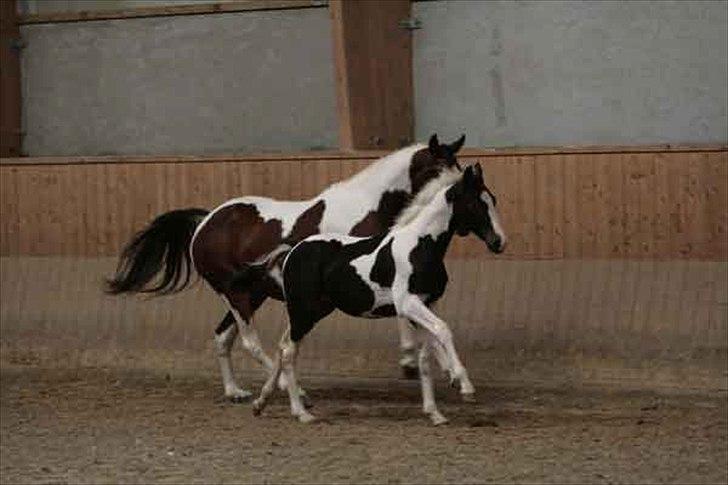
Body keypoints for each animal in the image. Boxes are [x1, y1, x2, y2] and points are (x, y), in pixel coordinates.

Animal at [108, 133, 466, 400]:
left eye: (458, 164)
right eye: (439, 166)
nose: (457, 190)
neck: (365, 208)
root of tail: (205, 222)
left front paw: (442, 369)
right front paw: (412, 360)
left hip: (251, 294)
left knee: (223, 337)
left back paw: (235, 392)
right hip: (236, 295)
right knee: (250, 341)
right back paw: (286, 387)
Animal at [253, 163, 504, 424]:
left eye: (493, 200)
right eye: (475, 204)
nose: (498, 242)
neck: (420, 244)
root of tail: (293, 250)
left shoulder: (427, 304)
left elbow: (426, 356)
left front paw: (435, 413)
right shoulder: (408, 304)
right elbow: (443, 330)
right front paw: (465, 386)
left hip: (312, 311)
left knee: (283, 346)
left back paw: (261, 402)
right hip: (303, 310)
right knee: (288, 352)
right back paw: (301, 412)